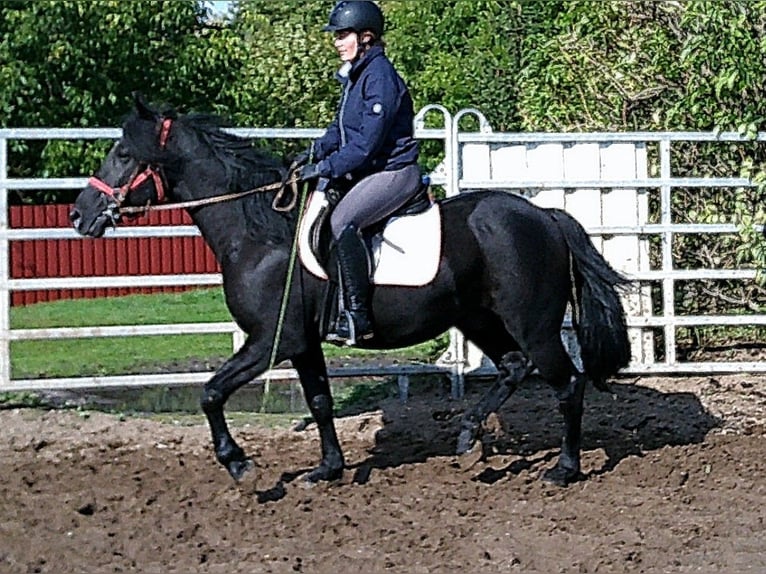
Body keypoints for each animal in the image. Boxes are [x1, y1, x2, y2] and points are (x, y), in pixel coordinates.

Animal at [70, 94, 631, 487]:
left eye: (124, 153)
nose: (80, 215)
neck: (259, 233)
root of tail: (545, 216)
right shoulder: (302, 344)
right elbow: (320, 402)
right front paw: (328, 469)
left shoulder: (269, 342)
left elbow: (210, 393)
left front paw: (239, 465)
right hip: (478, 319)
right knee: (515, 367)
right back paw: (469, 437)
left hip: (533, 325)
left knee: (568, 384)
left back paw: (563, 469)